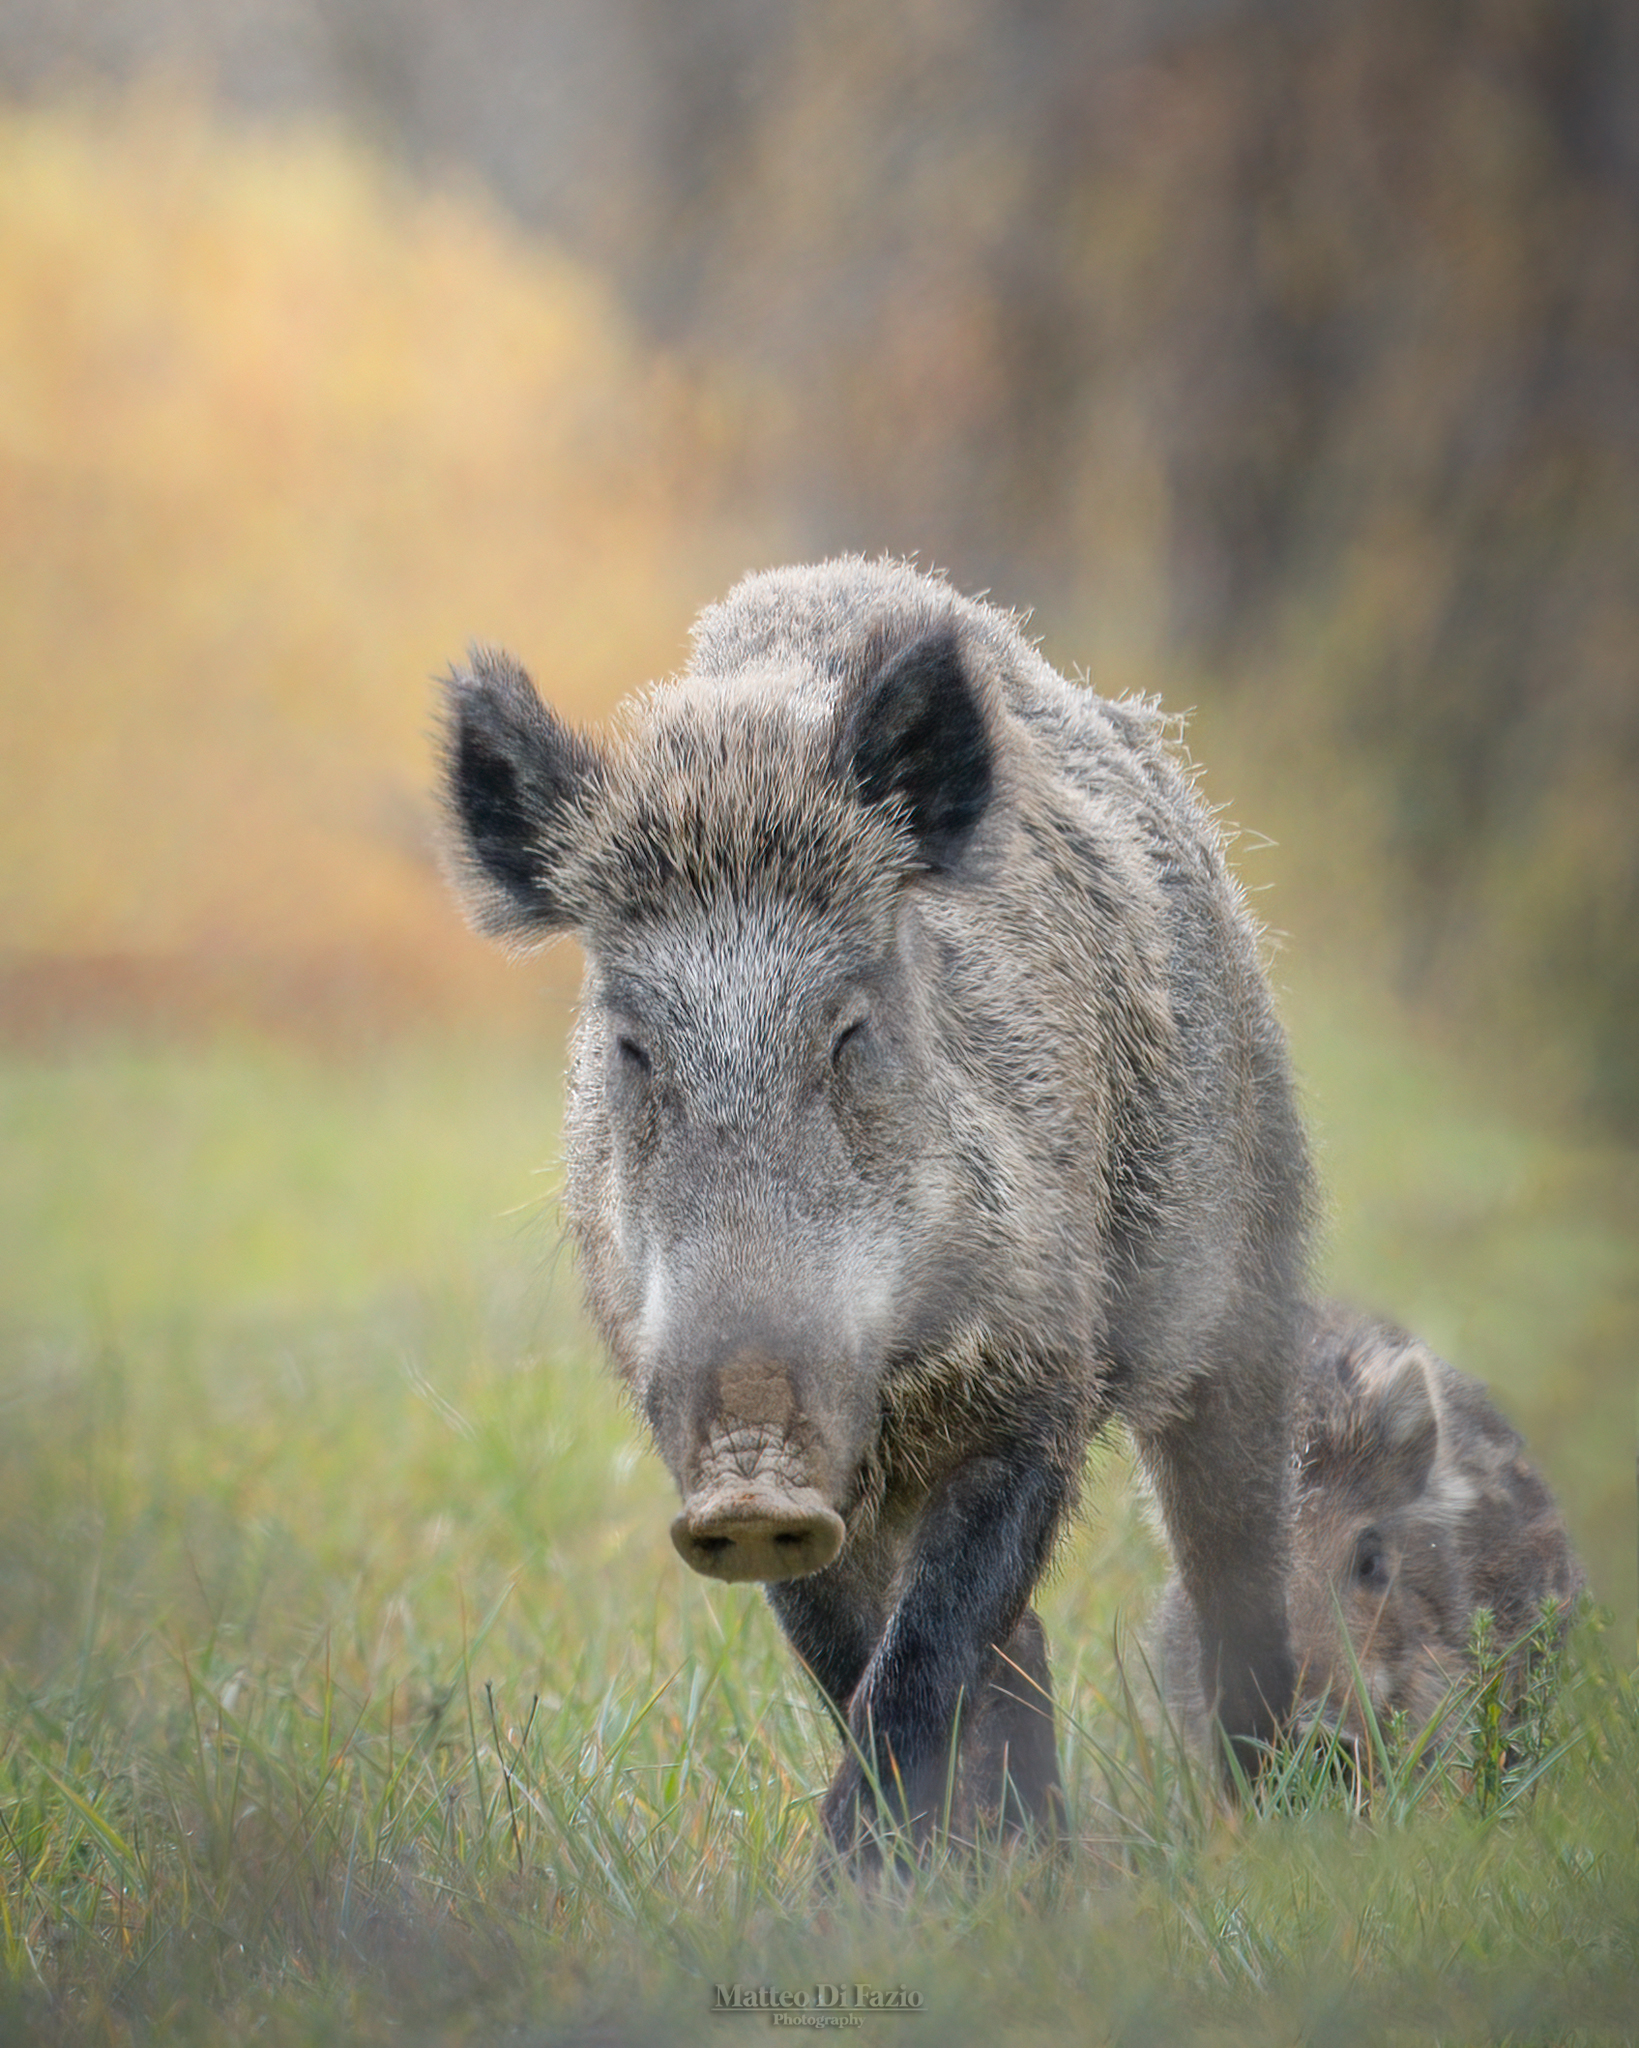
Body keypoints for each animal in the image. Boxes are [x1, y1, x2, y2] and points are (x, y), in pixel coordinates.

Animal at [436, 555, 1313, 1860]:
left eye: (849, 1028)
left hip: (1255, 1256)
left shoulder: (1040, 1383)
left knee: (1234, 1552)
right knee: (1026, 1644)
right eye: (632, 1045)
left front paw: (851, 1887)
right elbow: (859, 1663)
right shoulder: (725, 1465)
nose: (753, 1474)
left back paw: (1283, 1815)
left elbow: (922, 1659)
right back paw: (1042, 1867)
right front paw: (905, 1880)